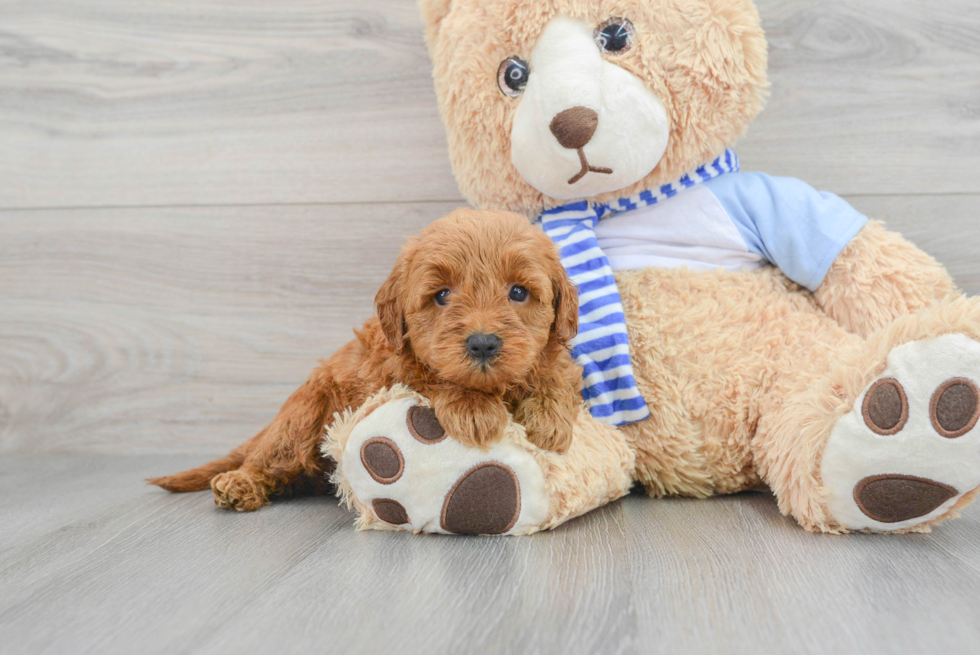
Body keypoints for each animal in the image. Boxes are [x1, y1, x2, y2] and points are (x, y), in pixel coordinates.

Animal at [150, 210, 580, 512]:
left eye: (519, 292)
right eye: (442, 295)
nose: (483, 344)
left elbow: (555, 372)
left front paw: (548, 418)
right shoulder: (394, 368)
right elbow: (433, 376)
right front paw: (475, 408)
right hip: (301, 419)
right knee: (266, 460)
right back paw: (239, 484)